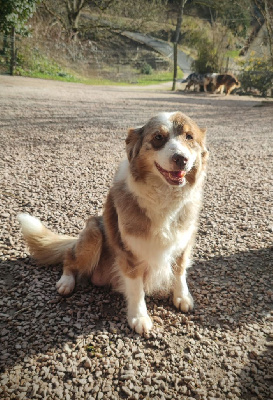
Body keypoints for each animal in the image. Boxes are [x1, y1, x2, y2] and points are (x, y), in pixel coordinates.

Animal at [17, 111, 208, 336]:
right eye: (158, 138)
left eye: (189, 137)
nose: (181, 159)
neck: (164, 196)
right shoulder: (129, 254)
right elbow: (136, 288)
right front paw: (139, 317)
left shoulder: (184, 241)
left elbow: (180, 271)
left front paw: (182, 297)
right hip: (94, 234)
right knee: (69, 257)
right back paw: (66, 282)